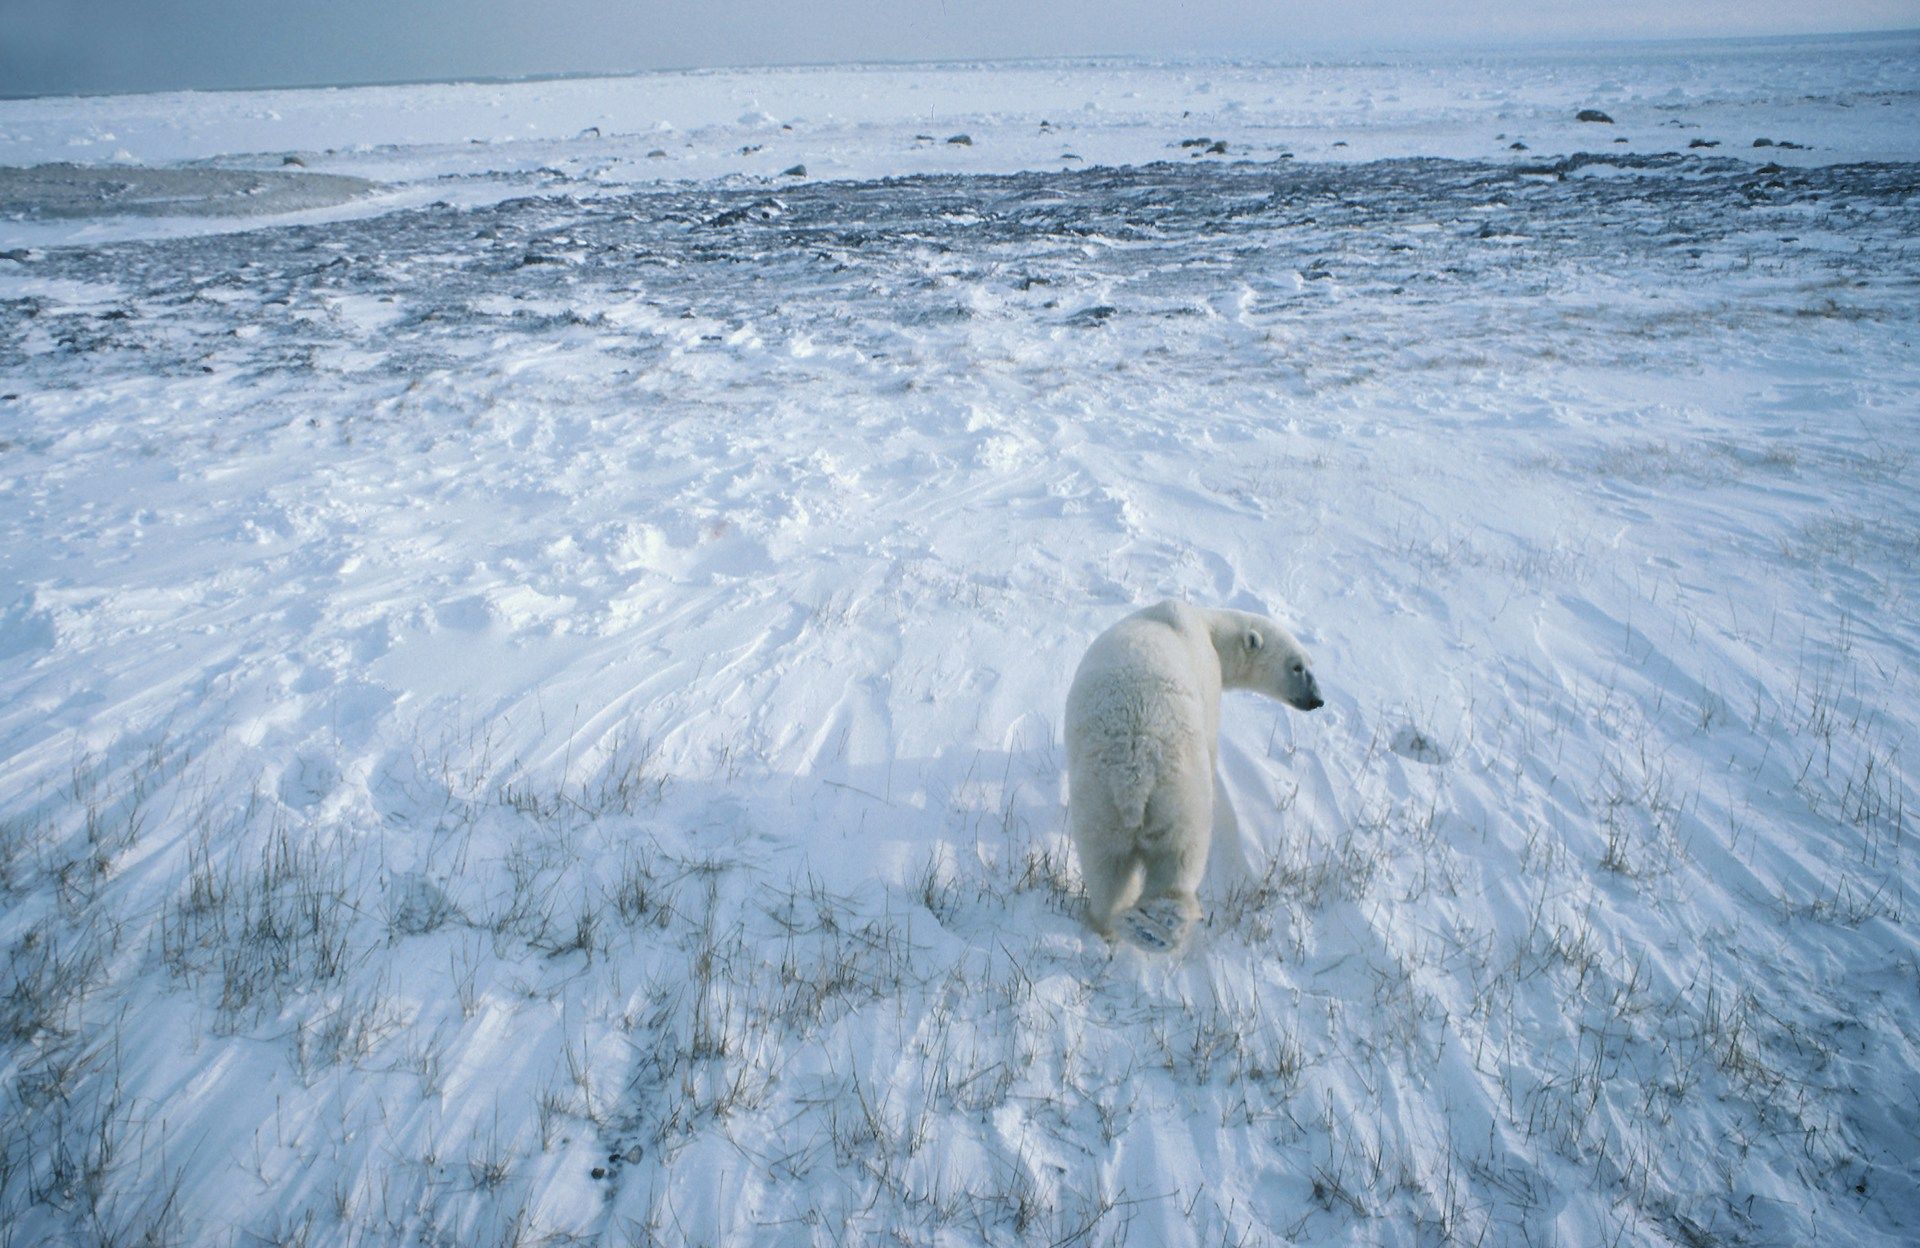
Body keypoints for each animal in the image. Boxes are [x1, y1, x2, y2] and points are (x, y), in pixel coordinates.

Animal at [1064, 600, 1323, 950]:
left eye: (1308, 664)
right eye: (1297, 666)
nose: (1317, 700)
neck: (1206, 624)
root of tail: (1135, 774)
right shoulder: (1208, 679)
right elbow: (1213, 739)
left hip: (1100, 801)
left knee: (1106, 869)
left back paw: (1114, 925)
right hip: (1178, 796)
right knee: (1180, 858)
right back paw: (1163, 921)